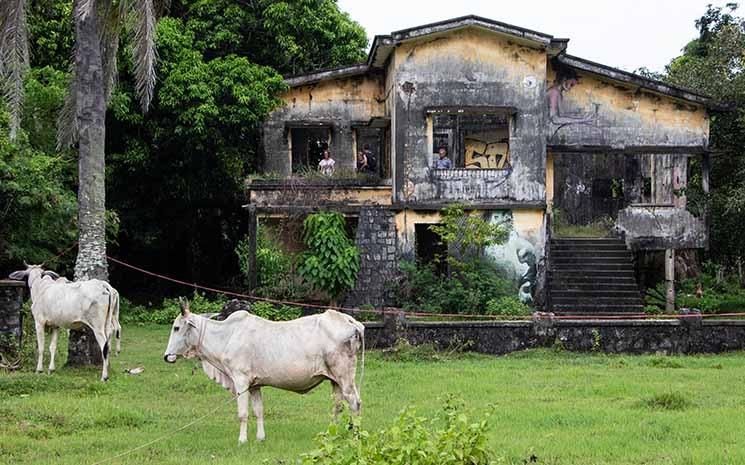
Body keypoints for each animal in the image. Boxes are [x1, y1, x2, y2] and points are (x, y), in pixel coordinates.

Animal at [163, 298, 364, 442]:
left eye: (177, 327)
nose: (166, 356)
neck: (226, 335)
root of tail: (351, 321)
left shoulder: (241, 380)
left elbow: (243, 413)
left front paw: (242, 440)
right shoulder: (255, 385)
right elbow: (258, 410)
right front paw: (260, 438)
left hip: (345, 377)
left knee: (354, 403)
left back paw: (355, 437)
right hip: (336, 379)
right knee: (337, 406)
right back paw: (332, 434)